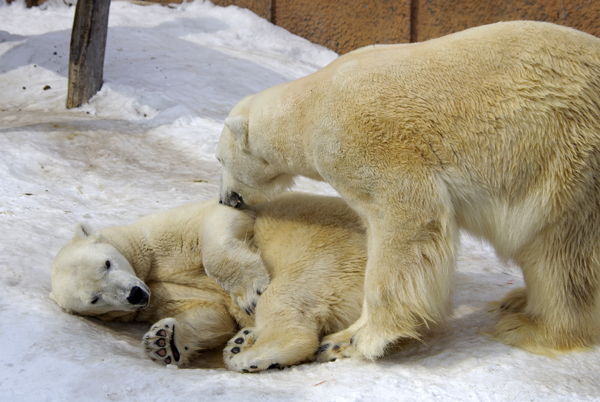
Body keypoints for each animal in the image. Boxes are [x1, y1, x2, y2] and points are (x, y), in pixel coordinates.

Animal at [50, 193, 366, 372]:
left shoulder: (160, 235)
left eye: (107, 263)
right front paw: (163, 341)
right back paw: (242, 344)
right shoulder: (156, 297)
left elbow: (222, 220)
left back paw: (249, 355)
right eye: (95, 298)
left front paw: (249, 291)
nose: (135, 294)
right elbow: (211, 313)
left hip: (322, 251)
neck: (146, 269)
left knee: (287, 293)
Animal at [217, 20, 600, 362]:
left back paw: (531, 326)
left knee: (561, 253)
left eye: (220, 159)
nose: (225, 199)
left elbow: (406, 222)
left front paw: (357, 341)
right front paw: (344, 339)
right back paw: (517, 300)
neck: (309, 108)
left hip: (568, 159)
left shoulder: (366, 141)